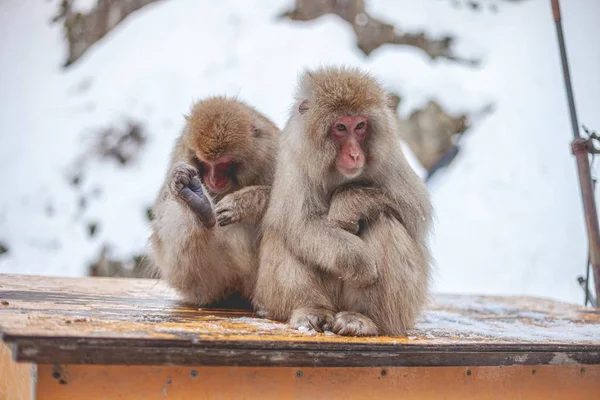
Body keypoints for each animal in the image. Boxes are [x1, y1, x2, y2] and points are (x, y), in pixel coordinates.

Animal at [150, 97, 282, 306]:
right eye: (205, 163)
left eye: (224, 164)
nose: (213, 180)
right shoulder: (181, 152)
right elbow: (161, 206)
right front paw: (181, 185)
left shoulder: (273, 153)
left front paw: (241, 204)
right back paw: (198, 206)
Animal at [234, 67, 432, 336]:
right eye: (340, 127)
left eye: (360, 126)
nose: (355, 154)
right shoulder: (295, 157)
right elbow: (300, 223)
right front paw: (361, 262)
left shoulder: (389, 155)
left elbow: (415, 211)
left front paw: (347, 204)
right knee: (286, 232)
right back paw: (310, 310)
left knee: (384, 219)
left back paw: (363, 318)